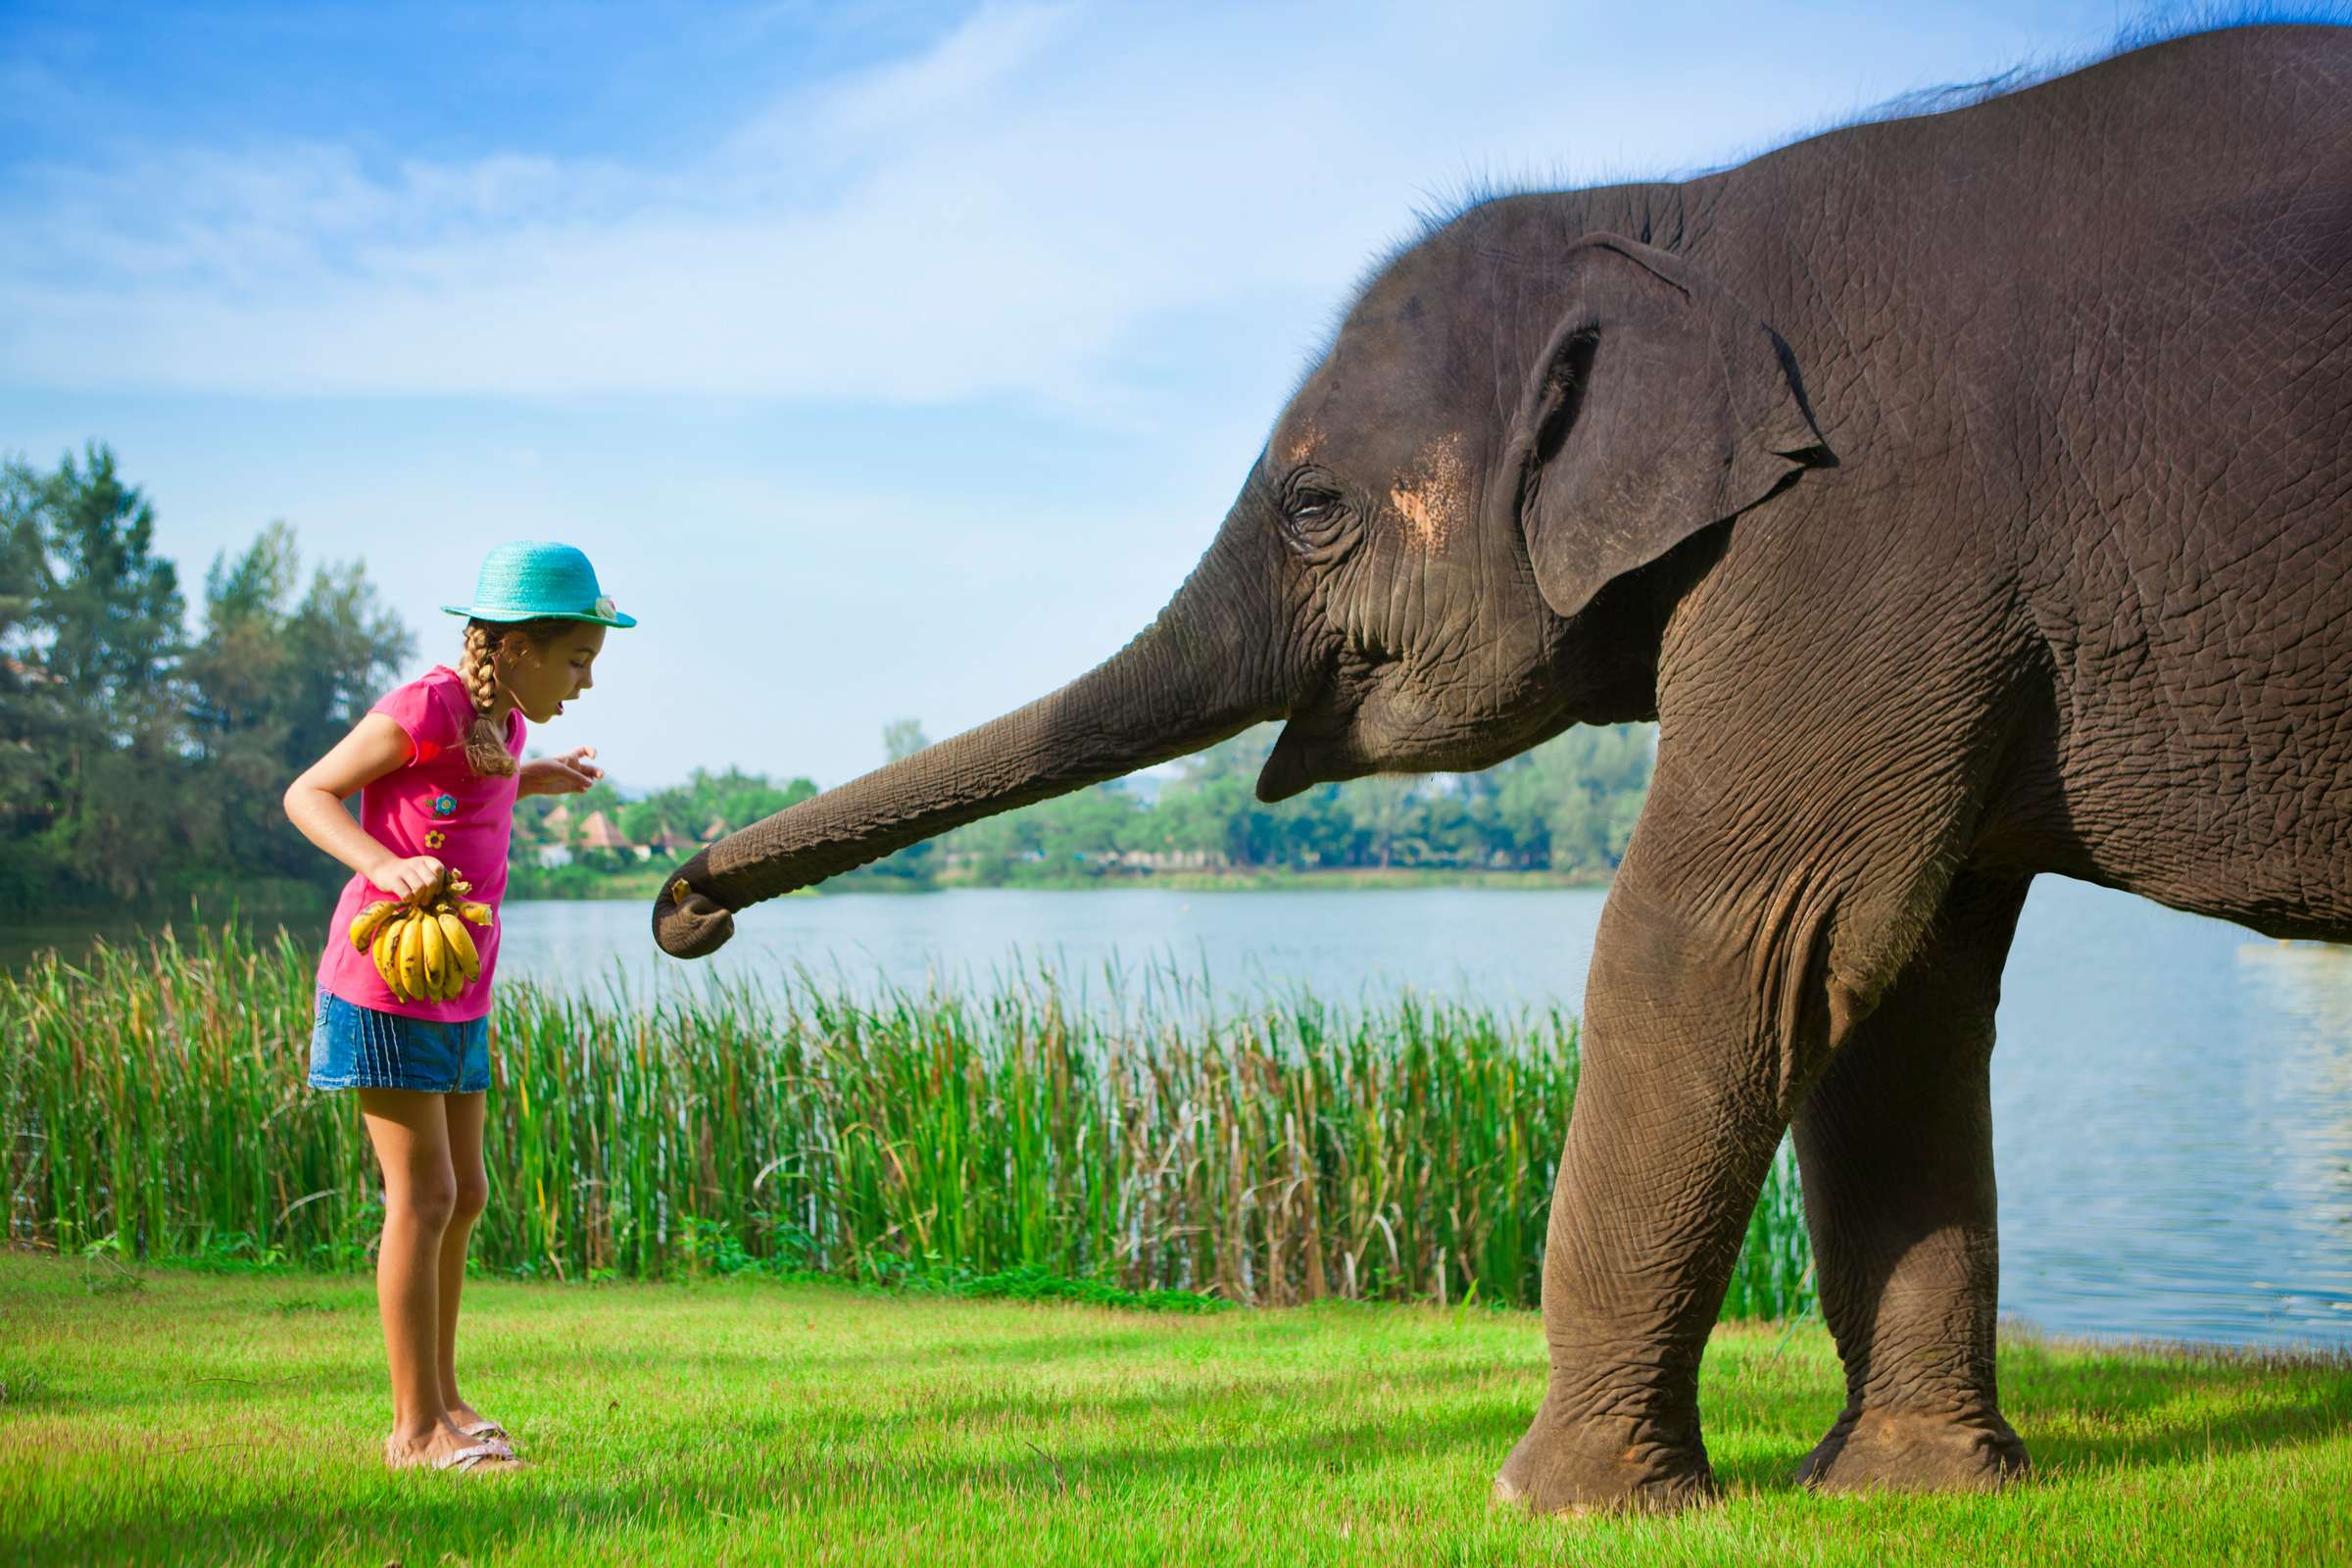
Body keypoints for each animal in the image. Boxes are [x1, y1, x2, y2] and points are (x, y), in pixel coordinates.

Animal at [659, 21, 2352, 1523]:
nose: (687, 910)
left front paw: (1556, 1502)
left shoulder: (1869, 530)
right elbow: (1892, 980)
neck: (1681, 205)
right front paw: (1907, 1493)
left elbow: (1730, 942)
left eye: (1315, 509)